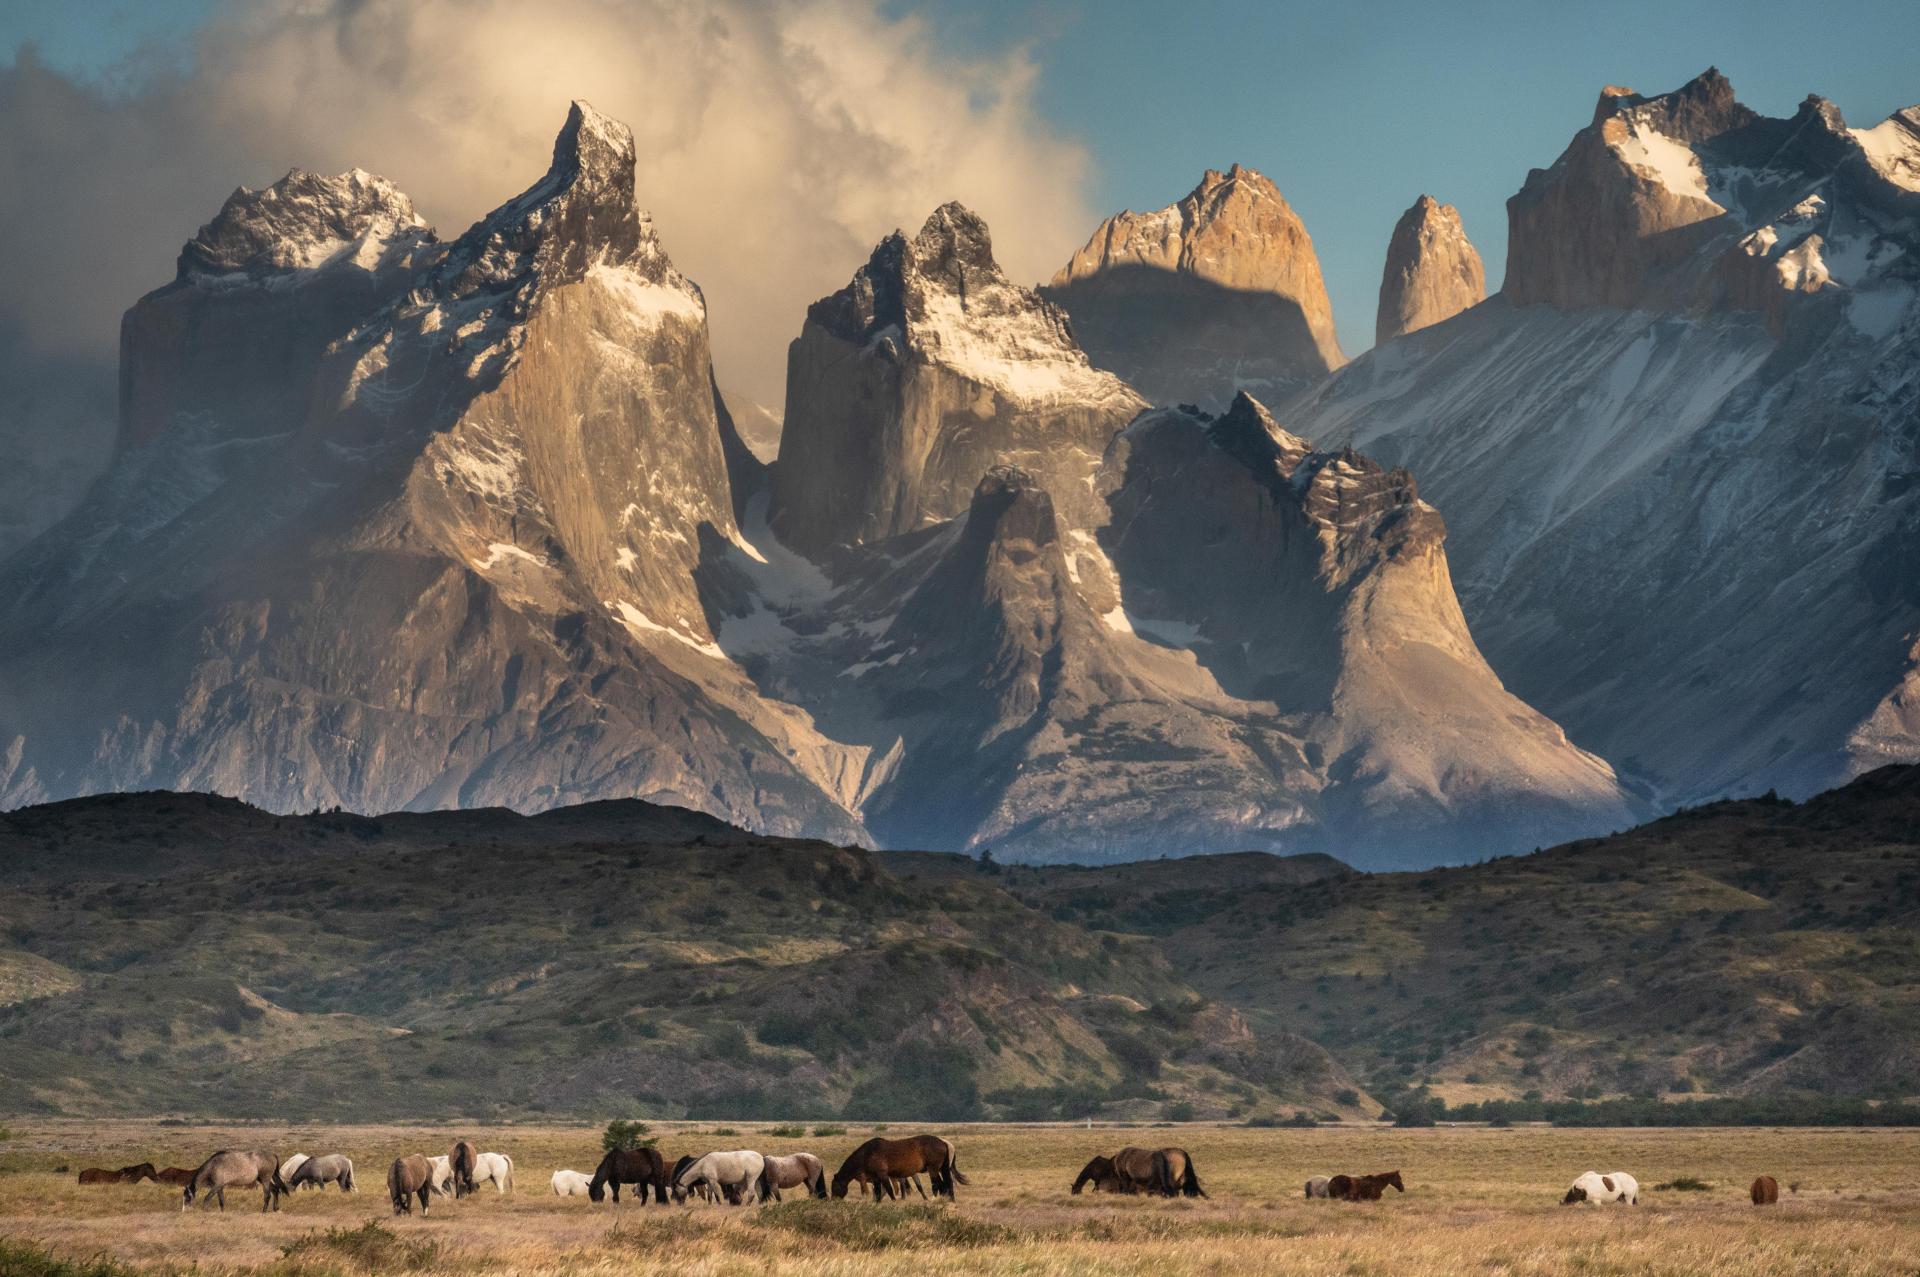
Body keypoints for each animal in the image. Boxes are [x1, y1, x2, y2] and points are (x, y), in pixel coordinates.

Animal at [829, 1136, 967, 1198]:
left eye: (835, 1186)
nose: (834, 1201)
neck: (868, 1153)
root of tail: (943, 1142)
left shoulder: (883, 1176)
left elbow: (890, 1191)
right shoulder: (876, 1179)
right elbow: (878, 1194)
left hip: (933, 1169)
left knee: (938, 1184)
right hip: (940, 1169)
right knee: (946, 1184)